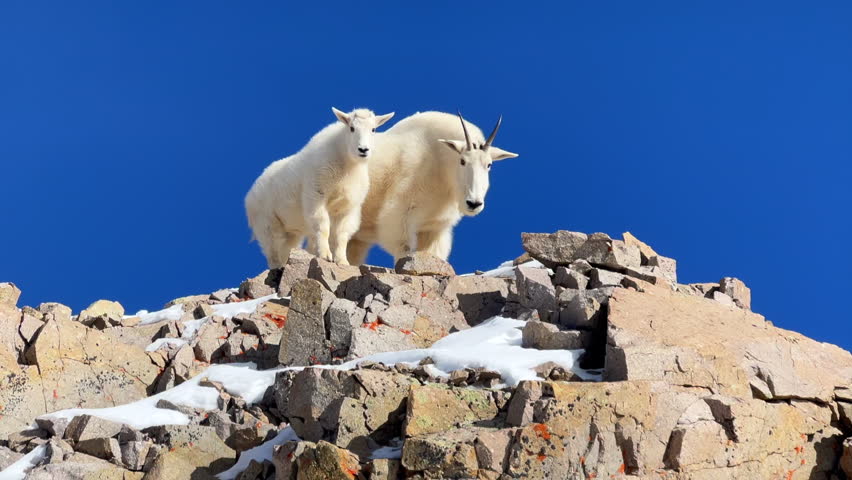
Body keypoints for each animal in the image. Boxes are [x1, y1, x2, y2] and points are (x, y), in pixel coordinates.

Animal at [245, 107, 395, 268]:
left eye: (373, 129)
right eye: (352, 128)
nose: (363, 150)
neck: (347, 164)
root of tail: (249, 195)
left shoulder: (348, 207)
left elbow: (342, 235)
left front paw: (342, 261)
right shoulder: (316, 195)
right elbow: (323, 227)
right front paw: (325, 255)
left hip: (291, 231)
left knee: (285, 248)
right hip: (266, 224)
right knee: (273, 252)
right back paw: (277, 268)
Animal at [347, 111, 518, 264]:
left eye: (489, 165)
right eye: (462, 161)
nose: (474, 203)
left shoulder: (433, 228)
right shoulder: (400, 214)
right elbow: (404, 247)